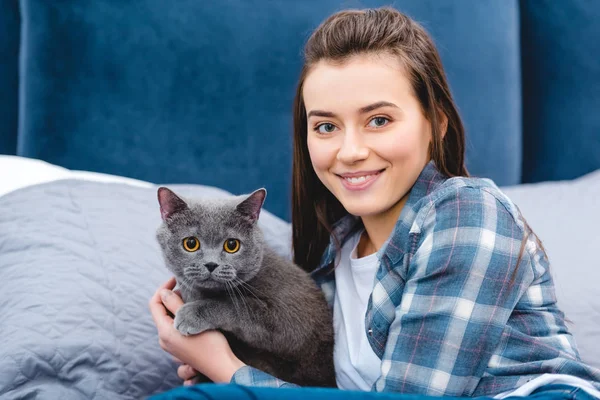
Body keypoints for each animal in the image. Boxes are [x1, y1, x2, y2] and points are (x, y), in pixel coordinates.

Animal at [156, 188, 338, 388]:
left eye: (232, 245)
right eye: (190, 243)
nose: (211, 264)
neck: (200, 294)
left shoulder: (295, 322)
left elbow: (240, 306)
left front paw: (191, 314)